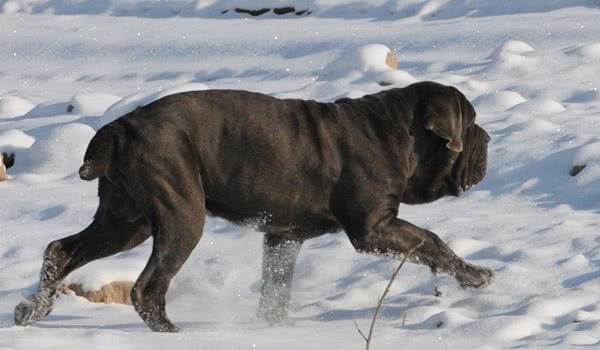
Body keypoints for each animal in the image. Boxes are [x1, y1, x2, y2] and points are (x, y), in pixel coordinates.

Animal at [15, 80, 492, 332]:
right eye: (470, 123)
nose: (487, 138)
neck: (397, 134)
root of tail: (120, 127)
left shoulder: (283, 239)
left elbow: (275, 290)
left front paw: (274, 329)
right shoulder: (373, 225)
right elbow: (431, 241)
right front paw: (475, 275)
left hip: (124, 219)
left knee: (62, 250)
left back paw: (31, 309)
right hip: (180, 214)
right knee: (147, 286)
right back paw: (173, 334)